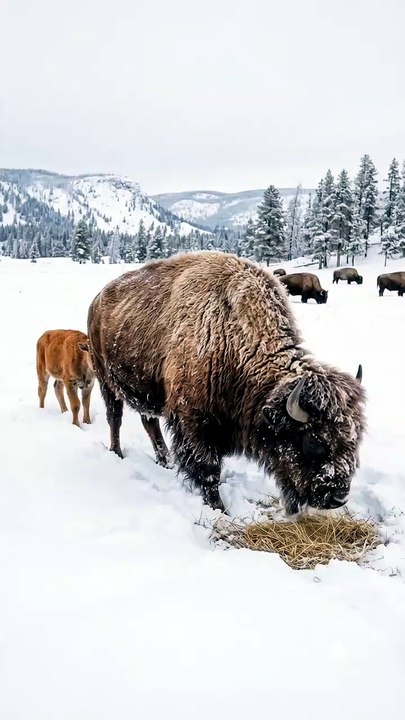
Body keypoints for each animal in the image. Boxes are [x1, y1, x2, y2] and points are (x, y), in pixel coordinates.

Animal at [87, 252, 365, 516]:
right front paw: (219, 508)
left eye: (354, 440)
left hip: (145, 392)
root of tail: (96, 301)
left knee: (149, 422)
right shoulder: (194, 422)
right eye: (314, 442)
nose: (338, 498)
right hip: (105, 380)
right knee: (115, 417)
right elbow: (208, 468)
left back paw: (164, 460)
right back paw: (117, 452)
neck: (235, 338)